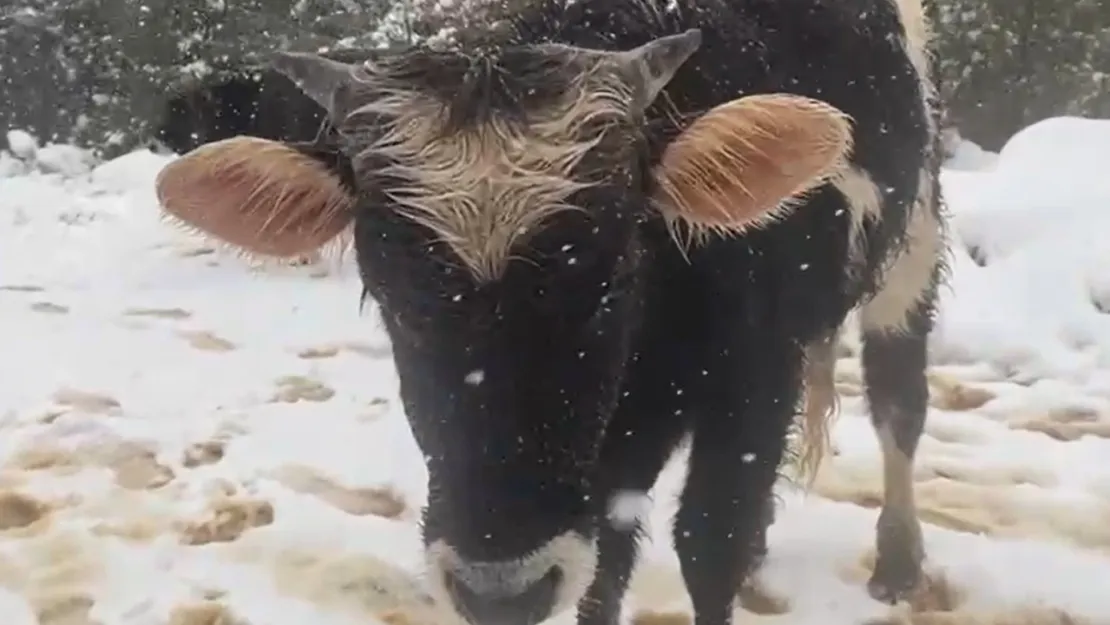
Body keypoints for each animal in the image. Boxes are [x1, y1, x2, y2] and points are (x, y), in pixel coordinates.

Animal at [149, 0, 945, 621]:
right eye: (394, 299)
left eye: (610, 281)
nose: (501, 592)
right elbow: (606, 569)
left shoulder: (754, 379)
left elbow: (708, 542)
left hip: (914, 244)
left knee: (898, 402)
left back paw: (899, 561)